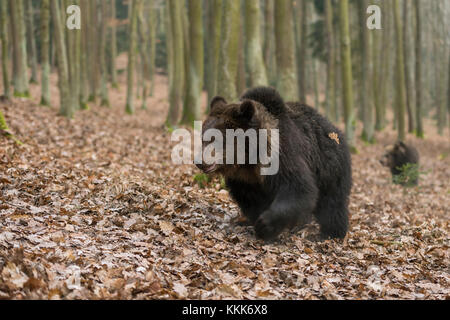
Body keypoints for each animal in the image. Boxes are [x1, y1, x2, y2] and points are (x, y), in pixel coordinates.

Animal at [197, 86, 352, 241]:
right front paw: (253, 221)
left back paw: (330, 232)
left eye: (216, 139)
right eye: (203, 137)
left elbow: (298, 188)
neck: (249, 159)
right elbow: (250, 199)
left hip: (329, 166)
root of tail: (334, 128)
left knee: (332, 203)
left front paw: (265, 224)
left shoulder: (282, 156)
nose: (199, 162)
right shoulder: (244, 179)